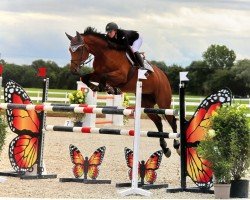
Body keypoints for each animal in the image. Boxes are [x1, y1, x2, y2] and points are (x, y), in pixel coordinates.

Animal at [65, 27, 177, 158]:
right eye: (70, 50)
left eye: (79, 49)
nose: (73, 70)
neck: (104, 54)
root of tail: (163, 75)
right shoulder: (97, 74)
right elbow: (85, 78)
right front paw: (96, 87)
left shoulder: (121, 76)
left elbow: (104, 77)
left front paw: (108, 88)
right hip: (146, 103)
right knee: (158, 121)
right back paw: (165, 149)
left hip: (164, 101)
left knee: (172, 120)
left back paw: (177, 145)